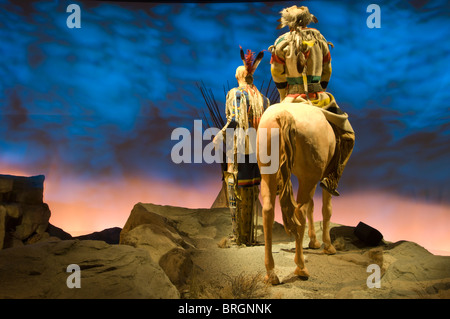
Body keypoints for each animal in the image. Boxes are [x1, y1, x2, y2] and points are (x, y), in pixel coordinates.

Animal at [256, 102, 338, 284]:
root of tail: (284, 114)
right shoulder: (324, 178)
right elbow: (326, 210)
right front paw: (328, 245)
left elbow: (313, 208)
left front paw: (314, 241)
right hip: (308, 178)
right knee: (300, 211)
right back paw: (301, 267)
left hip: (268, 175)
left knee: (268, 211)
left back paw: (271, 273)